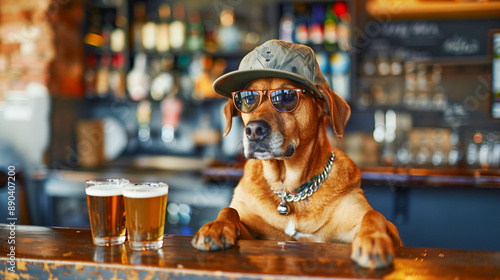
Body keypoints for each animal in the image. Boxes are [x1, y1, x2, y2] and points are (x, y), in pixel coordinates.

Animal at [189, 40, 400, 270]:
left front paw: (373, 239)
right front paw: (216, 227)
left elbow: (374, 215)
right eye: (246, 98)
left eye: (286, 96)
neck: (290, 190)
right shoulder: (252, 230)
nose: (253, 130)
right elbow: (229, 210)